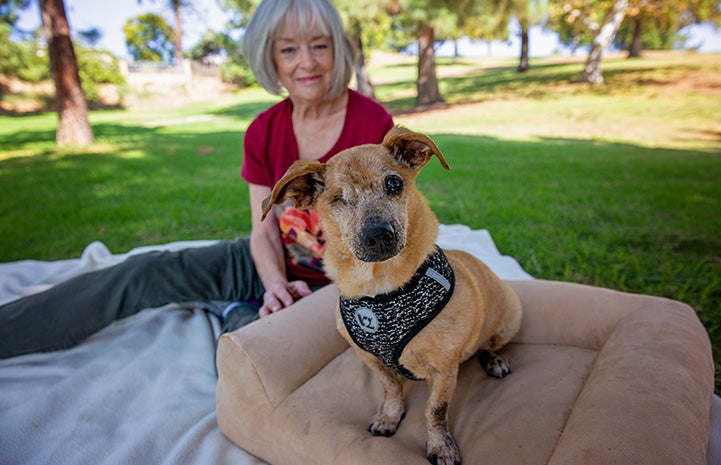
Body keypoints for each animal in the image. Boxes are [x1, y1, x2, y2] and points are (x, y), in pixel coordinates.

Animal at [262, 126, 520, 464]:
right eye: (337, 199)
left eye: (393, 184)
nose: (378, 235)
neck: (381, 289)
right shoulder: (369, 357)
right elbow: (391, 388)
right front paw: (389, 416)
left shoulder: (444, 369)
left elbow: (435, 409)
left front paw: (440, 445)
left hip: (512, 318)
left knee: (488, 345)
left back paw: (494, 360)